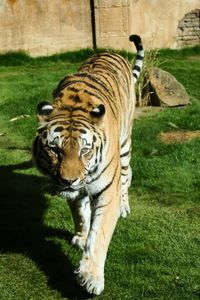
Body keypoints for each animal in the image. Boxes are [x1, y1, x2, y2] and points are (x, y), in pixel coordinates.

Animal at [32, 35, 144, 296]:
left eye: (85, 150)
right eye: (54, 150)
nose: (68, 180)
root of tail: (110, 52)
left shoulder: (107, 191)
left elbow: (100, 232)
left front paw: (91, 277)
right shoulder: (74, 191)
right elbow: (80, 214)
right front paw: (81, 237)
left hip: (125, 146)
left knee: (127, 176)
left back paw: (125, 206)